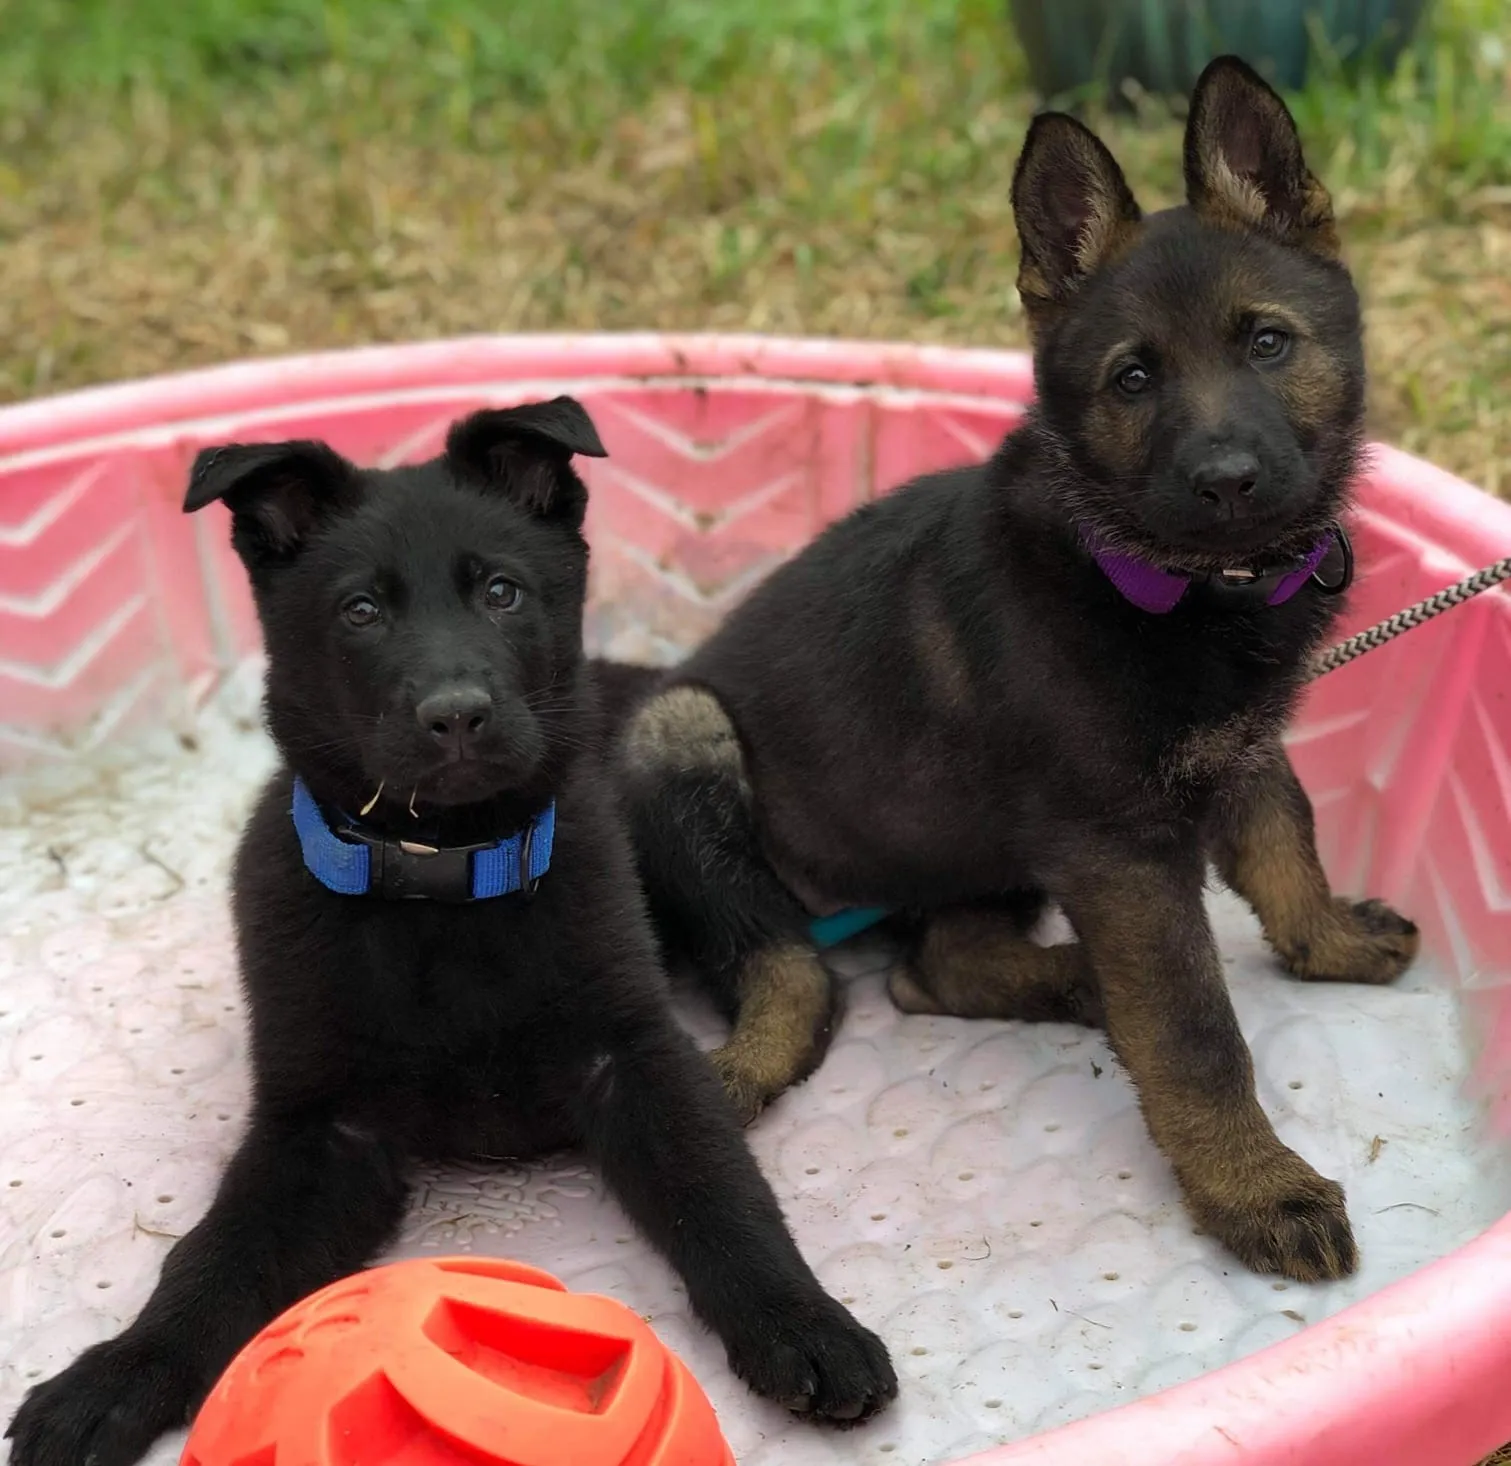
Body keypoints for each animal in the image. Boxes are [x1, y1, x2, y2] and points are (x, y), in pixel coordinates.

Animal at [2, 395, 894, 1462]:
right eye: (360, 611)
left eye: (501, 592)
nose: (457, 716)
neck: (445, 881)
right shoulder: (317, 1128)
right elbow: (212, 1259)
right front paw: (118, 1375)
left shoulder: (635, 1055)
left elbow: (720, 1194)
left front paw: (801, 1321)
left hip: (672, 737)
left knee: (789, 964)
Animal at [601, 54, 1414, 1281]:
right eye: (1133, 379)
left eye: (1266, 343)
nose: (1226, 480)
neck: (1163, 582)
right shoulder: (1121, 852)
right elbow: (1195, 1034)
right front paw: (1254, 1188)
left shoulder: (1234, 752)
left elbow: (1287, 854)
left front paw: (1330, 942)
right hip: (681, 732)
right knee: (798, 980)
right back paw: (746, 1067)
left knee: (935, 964)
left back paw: (1074, 980)